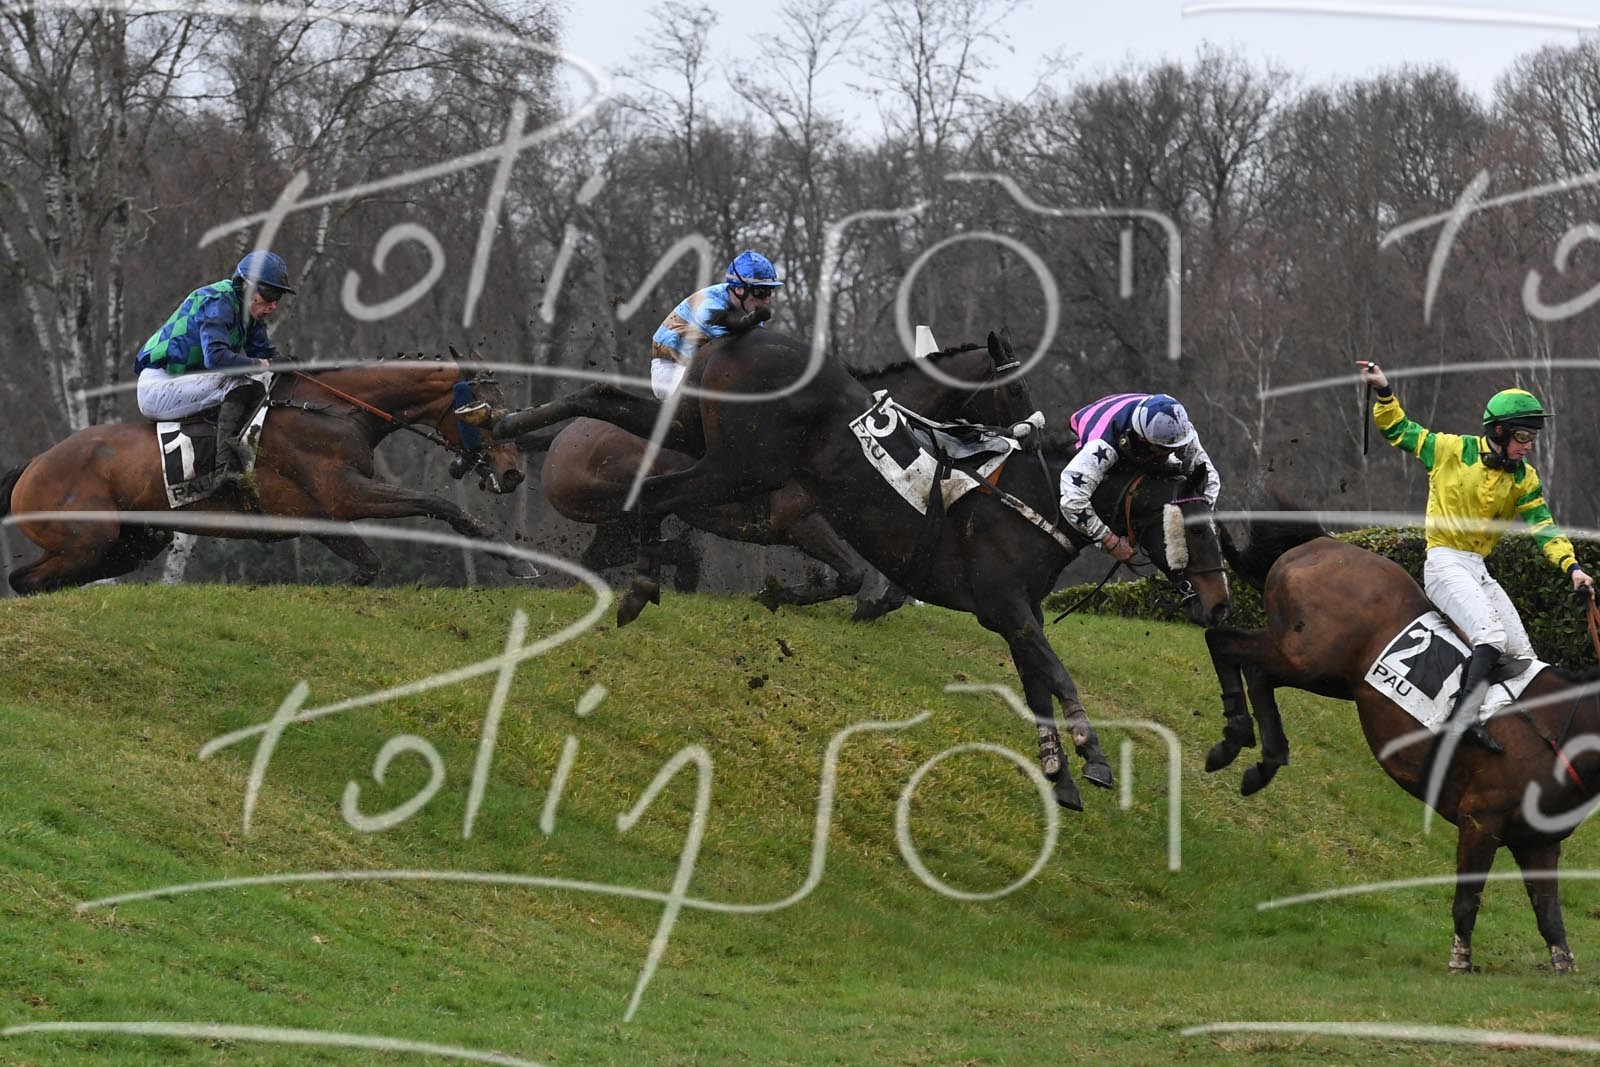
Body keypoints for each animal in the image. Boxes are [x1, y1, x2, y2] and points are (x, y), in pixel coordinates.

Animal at [1, 350, 530, 593]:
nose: (512, 474)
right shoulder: (344, 495)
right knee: (24, 580)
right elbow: (436, 503)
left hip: (132, 541)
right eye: (486, 413)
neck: (334, 410)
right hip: (85, 537)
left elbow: (369, 565)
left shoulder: (320, 518)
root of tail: (34, 464)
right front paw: (512, 558)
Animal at [528, 343, 1019, 620]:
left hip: (611, 530)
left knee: (600, 560)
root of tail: (563, 438)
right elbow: (851, 575)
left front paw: (870, 605)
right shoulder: (798, 521)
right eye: (1015, 387)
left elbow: (889, 579)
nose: (1026, 436)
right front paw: (777, 594)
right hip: (612, 502)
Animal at [1206, 513, 1600, 973]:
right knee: (1226, 644)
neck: (1556, 728)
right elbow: (1468, 899)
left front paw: (1564, 965)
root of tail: (1320, 543)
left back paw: (1263, 758)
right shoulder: (1481, 819)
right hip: (1308, 656)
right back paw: (1232, 738)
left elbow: (1549, 914)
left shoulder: (1539, 843)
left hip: (1328, 676)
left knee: (1256, 671)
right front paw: (1460, 960)